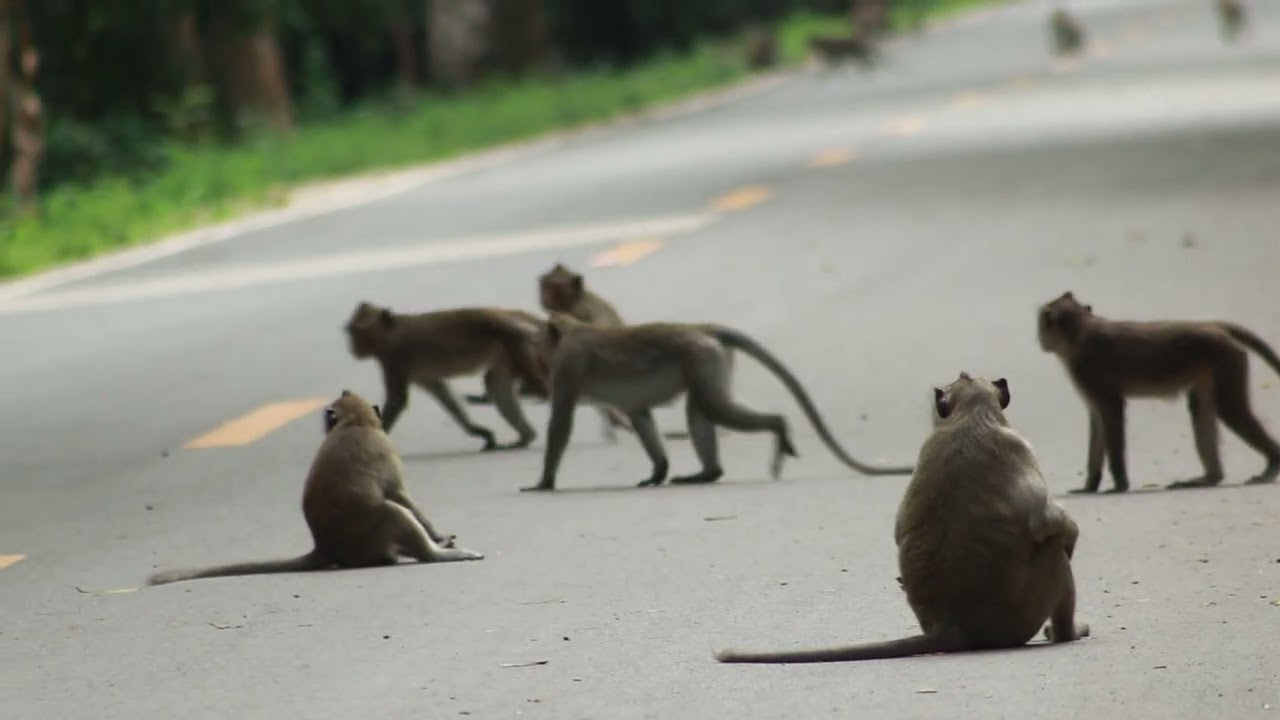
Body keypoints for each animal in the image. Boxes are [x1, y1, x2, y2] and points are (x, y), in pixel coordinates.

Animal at [148, 390, 483, 586]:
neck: (355, 423)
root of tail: (326, 546)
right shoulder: (385, 451)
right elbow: (399, 495)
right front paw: (437, 536)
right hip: (372, 532)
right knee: (392, 511)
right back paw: (436, 554)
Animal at [344, 301, 549, 452]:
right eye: (350, 331)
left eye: (356, 331)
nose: (352, 348)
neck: (390, 332)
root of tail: (534, 320)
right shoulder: (421, 374)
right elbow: (444, 396)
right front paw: (479, 432)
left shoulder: (395, 358)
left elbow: (397, 399)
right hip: (505, 354)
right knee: (496, 386)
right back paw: (526, 437)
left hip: (518, 343)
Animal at [521, 313, 915, 492]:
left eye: (539, 340)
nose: (535, 347)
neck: (569, 332)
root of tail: (701, 327)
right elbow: (640, 415)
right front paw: (658, 471)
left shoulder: (568, 366)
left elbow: (561, 422)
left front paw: (543, 481)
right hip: (709, 361)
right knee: (700, 410)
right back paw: (707, 473)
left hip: (700, 358)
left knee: (713, 408)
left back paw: (779, 427)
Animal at [715, 372, 1089, 663]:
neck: (970, 415)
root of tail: (950, 624)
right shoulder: (1018, 447)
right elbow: (1049, 523)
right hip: (1022, 613)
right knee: (1054, 547)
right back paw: (1066, 632)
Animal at [1037, 291, 1280, 494]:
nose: (1040, 340)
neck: (1080, 331)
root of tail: (1213, 325)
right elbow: (1097, 420)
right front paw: (1089, 486)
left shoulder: (1087, 370)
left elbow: (1112, 410)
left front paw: (1119, 485)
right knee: (1200, 406)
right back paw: (1210, 478)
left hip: (1225, 357)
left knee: (1230, 409)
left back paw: (1270, 464)